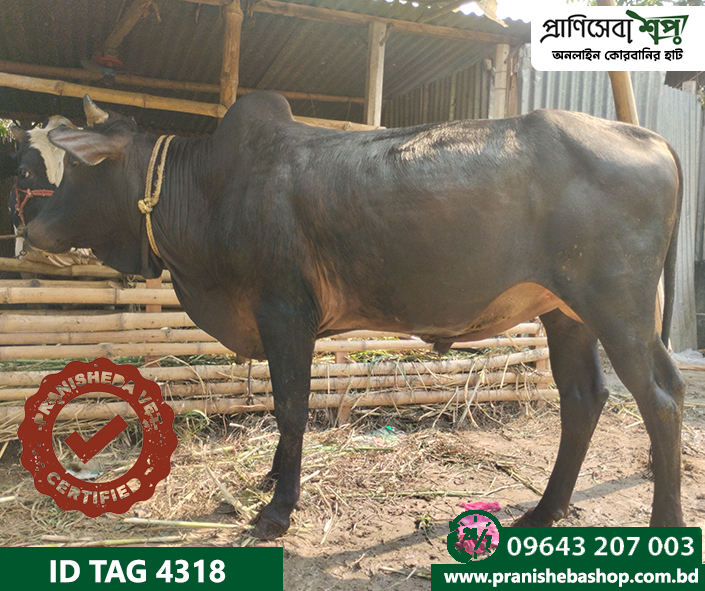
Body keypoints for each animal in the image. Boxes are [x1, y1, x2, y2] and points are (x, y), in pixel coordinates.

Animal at [26, 93, 685, 539]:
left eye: (79, 168)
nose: (32, 228)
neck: (212, 188)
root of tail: (647, 136)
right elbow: (284, 407)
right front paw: (272, 480)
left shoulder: (285, 312)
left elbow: (291, 408)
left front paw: (278, 509)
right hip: (567, 314)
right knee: (584, 398)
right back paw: (545, 511)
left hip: (617, 306)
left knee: (660, 400)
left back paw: (664, 526)